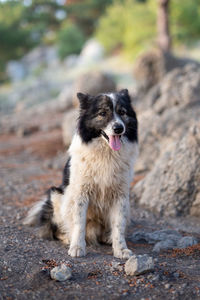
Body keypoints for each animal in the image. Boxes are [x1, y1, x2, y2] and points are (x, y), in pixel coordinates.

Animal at [24, 89, 138, 260]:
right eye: (102, 113)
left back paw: (107, 236)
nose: (119, 128)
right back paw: (67, 237)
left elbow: (119, 225)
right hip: (58, 196)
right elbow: (79, 223)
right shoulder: (80, 194)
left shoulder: (121, 196)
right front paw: (77, 247)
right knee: (56, 229)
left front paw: (121, 249)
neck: (106, 154)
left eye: (122, 112)